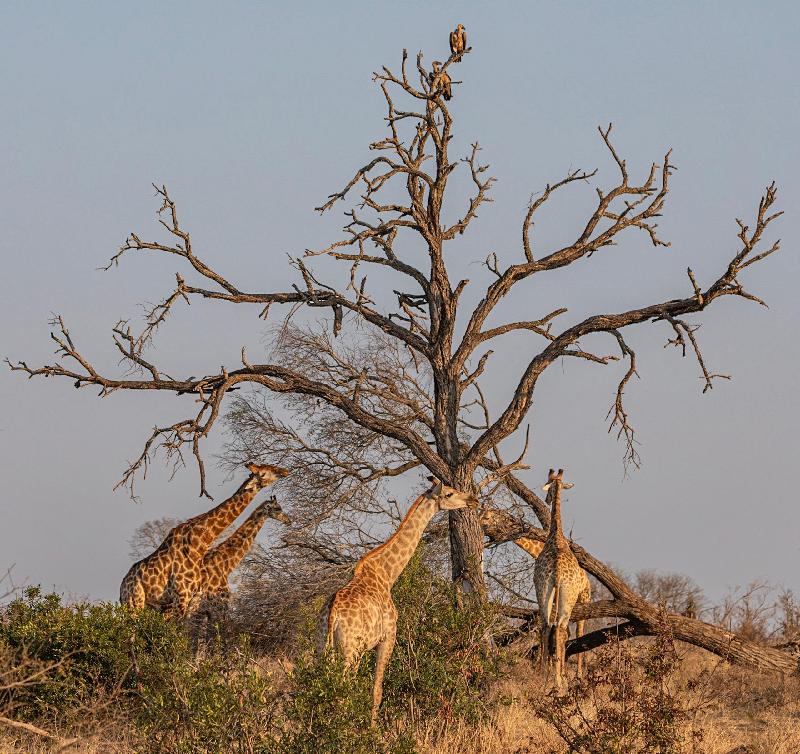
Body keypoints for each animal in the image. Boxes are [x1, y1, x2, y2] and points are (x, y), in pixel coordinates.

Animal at [120, 462, 290, 620]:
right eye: (265, 472)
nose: (285, 471)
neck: (200, 542)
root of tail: (121, 588)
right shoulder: (186, 596)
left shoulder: (193, 600)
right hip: (135, 603)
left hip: (151, 606)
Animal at [194, 494, 290, 640]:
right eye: (278, 508)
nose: (289, 520)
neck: (226, 565)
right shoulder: (221, 602)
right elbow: (224, 633)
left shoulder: (205, 610)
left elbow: (201, 640)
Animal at [318, 476, 482, 724]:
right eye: (449, 494)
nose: (473, 500)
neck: (387, 575)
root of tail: (332, 614)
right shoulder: (388, 638)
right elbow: (376, 691)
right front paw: (372, 729)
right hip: (349, 650)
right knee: (341, 688)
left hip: (322, 647)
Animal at [536, 468, 592, 692]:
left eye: (549, 486)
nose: (546, 498)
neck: (556, 536)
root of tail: (558, 572)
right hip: (565, 598)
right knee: (558, 628)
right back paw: (557, 679)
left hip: (546, 591)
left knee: (548, 625)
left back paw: (546, 676)